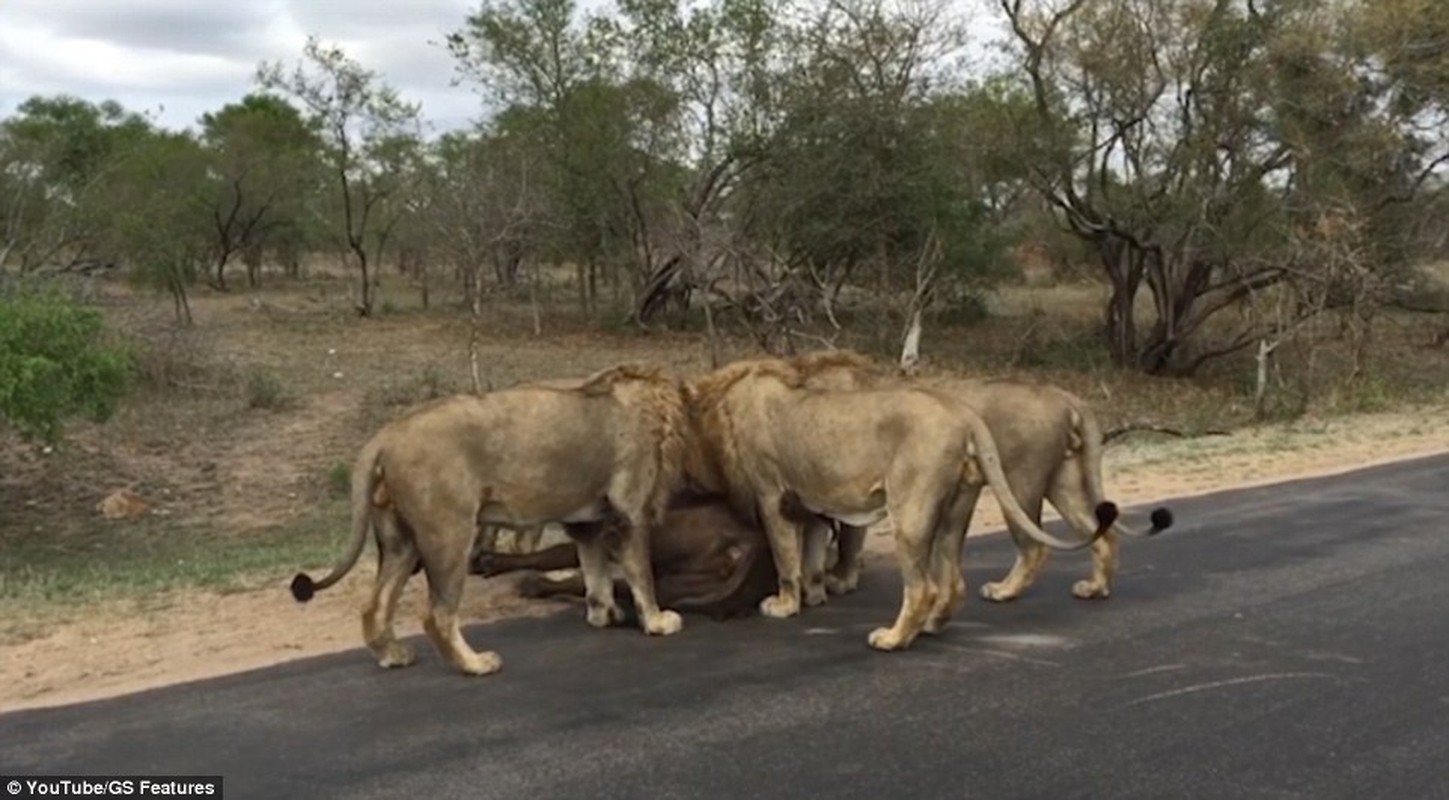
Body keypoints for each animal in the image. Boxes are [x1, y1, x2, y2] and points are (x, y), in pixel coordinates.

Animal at [288, 365, 689, 678]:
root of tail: (386, 435)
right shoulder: (629, 510)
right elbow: (640, 573)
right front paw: (657, 622)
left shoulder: (586, 521)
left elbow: (595, 574)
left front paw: (604, 615)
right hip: (450, 533)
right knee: (437, 615)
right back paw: (476, 664)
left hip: (400, 540)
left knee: (376, 605)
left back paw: (394, 656)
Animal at [678, 356, 1107, 649]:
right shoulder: (814, 499)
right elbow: (812, 555)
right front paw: (815, 595)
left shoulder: (772, 495)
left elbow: (791, 557)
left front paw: (787, 604)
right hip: (1000, 496)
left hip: (966, 496)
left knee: (932, 584)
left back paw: (896, 637)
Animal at [776, 346, 1170, 602]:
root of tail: (1064, 395)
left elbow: (849, 539)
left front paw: (840, 581)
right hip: (1064, 480)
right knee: (1101, 534)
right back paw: (1095, 588)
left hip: (1020, 481)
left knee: (1034, 546)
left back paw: (1003, 591)